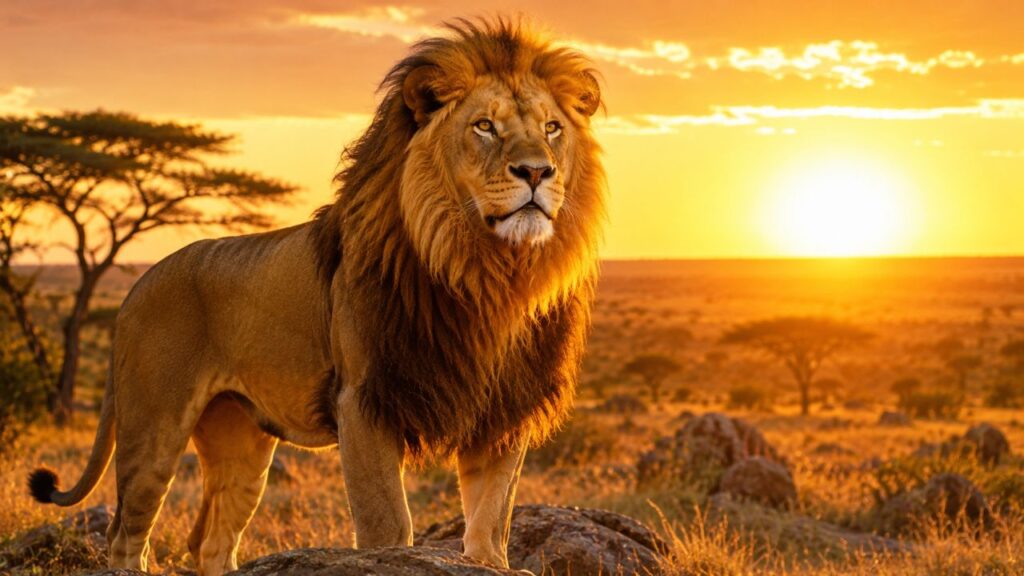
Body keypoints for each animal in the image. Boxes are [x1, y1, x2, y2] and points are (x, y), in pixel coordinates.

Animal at [28, 18, 605, 576]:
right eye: (484, 126)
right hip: (153, 427)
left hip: (242, 442)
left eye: (552, 129)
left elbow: (490, 526)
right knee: (126, 537)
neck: (488, 274)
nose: (537, 171)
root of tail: (136, 288)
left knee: (211, 543)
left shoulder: (504, 412)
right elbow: (387, 525)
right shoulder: (364, 401)